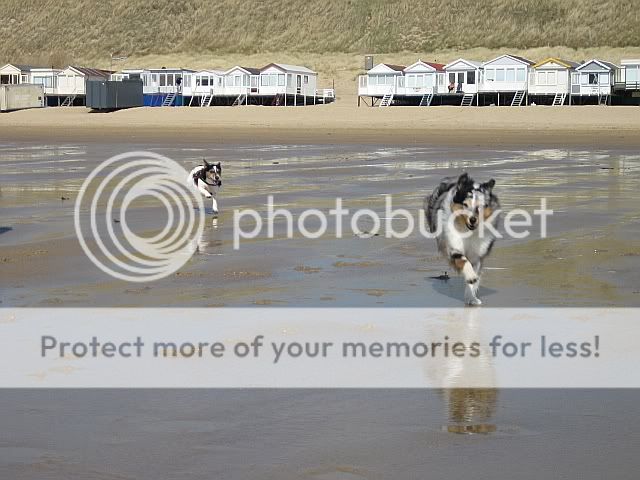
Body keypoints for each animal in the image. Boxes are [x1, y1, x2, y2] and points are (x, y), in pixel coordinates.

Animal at [424, 172, 500, 306]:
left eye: (480, 207)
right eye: (465, 205)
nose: (473, 220)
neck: (467, 230)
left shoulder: (478, 255)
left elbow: (474, 277)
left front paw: (471, 297)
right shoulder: (453, 246)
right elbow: (464, 262)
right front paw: (471, 277)